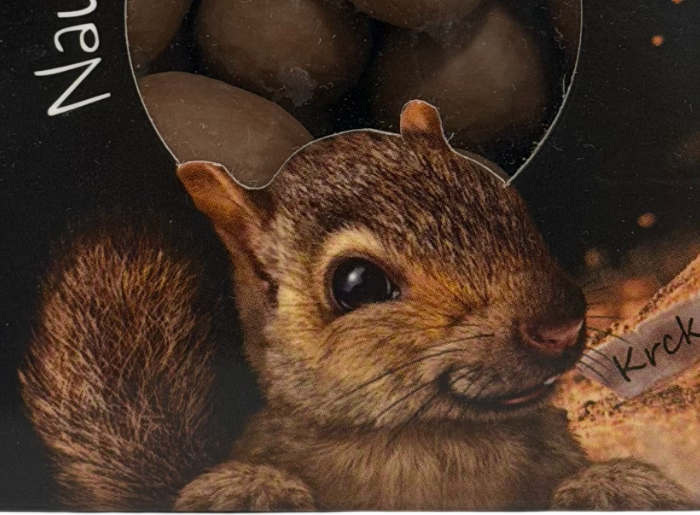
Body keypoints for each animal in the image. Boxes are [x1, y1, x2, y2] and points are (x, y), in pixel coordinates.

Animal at [19, 100, 691, 511]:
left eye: (510, 205)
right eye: (357, 283)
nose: (559, 325)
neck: (426, 444)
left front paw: (619, 485)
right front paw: (249, 491)